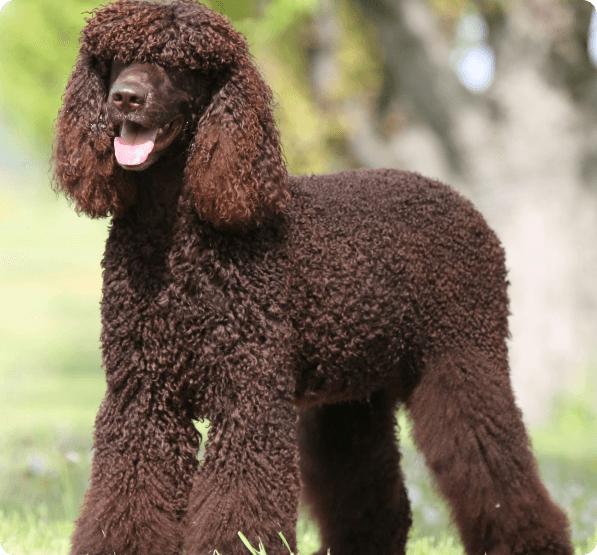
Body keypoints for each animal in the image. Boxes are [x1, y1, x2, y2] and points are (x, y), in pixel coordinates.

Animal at [53, 1, 572, 555]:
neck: (175, 239)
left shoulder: (251, 395)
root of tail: (459, 201)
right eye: (113, 58)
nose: (124, 97)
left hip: (462, 361)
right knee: (376, 501)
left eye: (182, 63)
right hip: (352, 395)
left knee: (495, 467)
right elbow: (127, 496)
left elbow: (240, 504)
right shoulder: (142, 396)